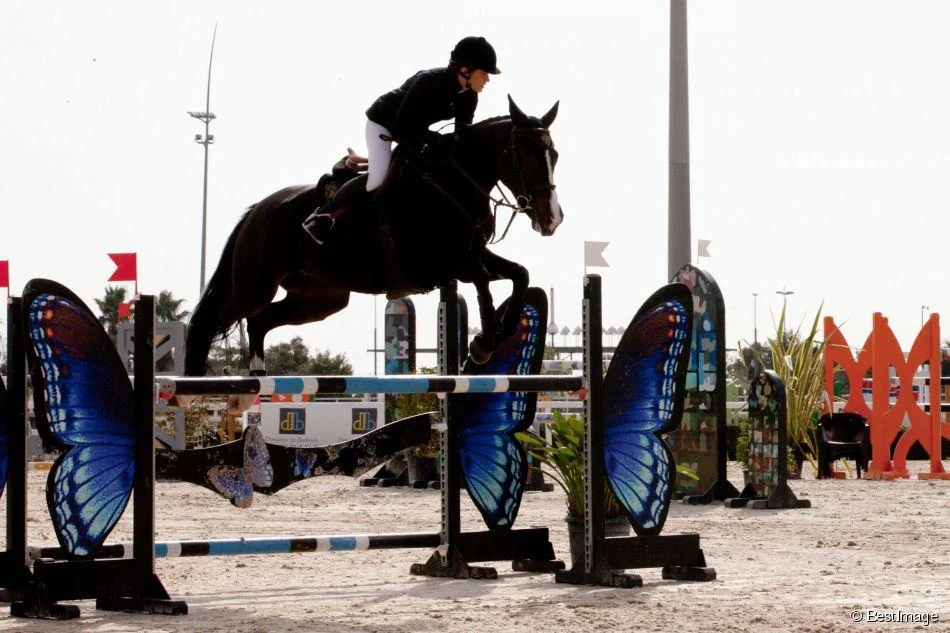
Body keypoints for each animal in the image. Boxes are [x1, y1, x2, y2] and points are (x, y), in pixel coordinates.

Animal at [182, 95, 560, 376]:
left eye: (554, 155)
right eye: (526, 156)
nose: (552, 219)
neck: (452, 184)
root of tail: (257, 211)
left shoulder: (471, 255)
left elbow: (519, 274)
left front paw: (492, 339)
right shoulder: (441, 265)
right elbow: (483, 280)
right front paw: (483, 342)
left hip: (320, 298)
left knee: (260, 322)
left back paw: (257, 382)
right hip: (255, 286)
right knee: (208, 325)